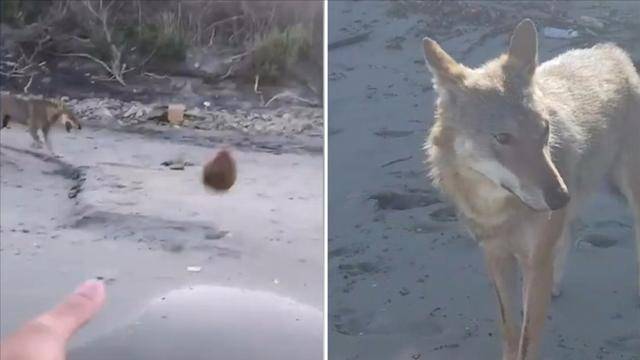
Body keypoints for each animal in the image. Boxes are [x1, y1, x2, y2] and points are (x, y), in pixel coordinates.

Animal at [422, 19, 636, 360]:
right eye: (503, 138)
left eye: (544, 130)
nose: (560, 197)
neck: (498, 210)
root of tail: (609, 50)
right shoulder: (497, 258)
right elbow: (511, 332)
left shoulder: (535, 263)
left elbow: (527, 341)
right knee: (571, 231)